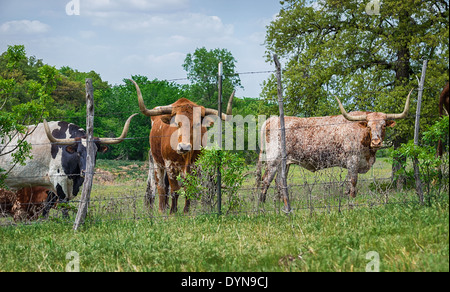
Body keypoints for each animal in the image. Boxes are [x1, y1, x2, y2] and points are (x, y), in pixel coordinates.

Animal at [131, 80, 234, 214]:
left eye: (197, 124)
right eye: (177, 122)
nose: (184, 147)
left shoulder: (195, 166)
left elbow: (189, 188)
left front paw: (186, 211)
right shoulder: (169, 165)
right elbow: (174, 189)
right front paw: (173, 212)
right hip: (156, 162)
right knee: (161, 186)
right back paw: (162, 210)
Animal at [255, 90, 414, 202]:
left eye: (383, 126)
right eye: (369, 126)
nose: (376, 142)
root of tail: (273, 119)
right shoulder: (352, 161)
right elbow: (353, 182)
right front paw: (351, 201)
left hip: (285, 163)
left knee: (280, 181)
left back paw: (281, 202)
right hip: (273, 160)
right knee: (265, 180)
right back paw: (262, 206)